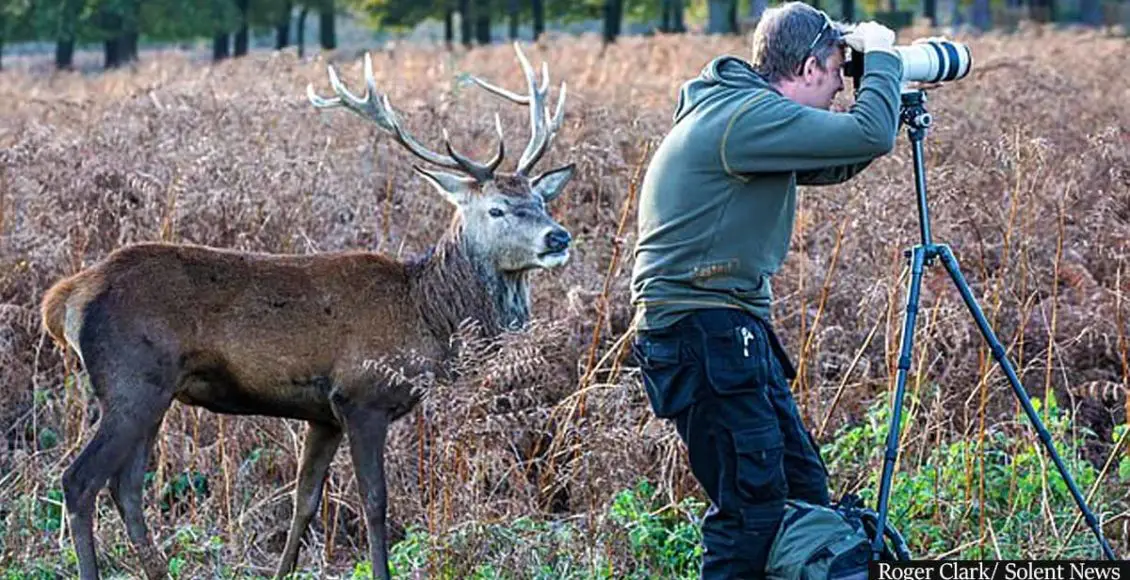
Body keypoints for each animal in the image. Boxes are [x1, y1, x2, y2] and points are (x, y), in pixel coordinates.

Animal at [40, 42, 578, 578]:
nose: (558, 237)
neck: (426, 316)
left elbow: (305, 501)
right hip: (130, 381)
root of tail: (66, 297)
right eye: (496, 209)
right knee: (79, 482)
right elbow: (375, 503)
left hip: (155, 392)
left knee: (127, 487)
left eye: (541, 201)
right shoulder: (363, 396)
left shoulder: (323, 414)